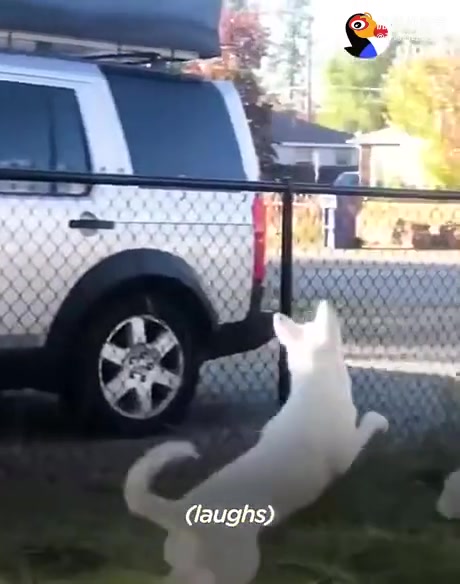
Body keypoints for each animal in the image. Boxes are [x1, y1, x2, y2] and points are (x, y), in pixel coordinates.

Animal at [122, 302, 388, 584]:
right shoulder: (345, 455)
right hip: (237, 567)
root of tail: (178, 510)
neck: (314, 377)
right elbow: (368, 423)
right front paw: (380, 421)